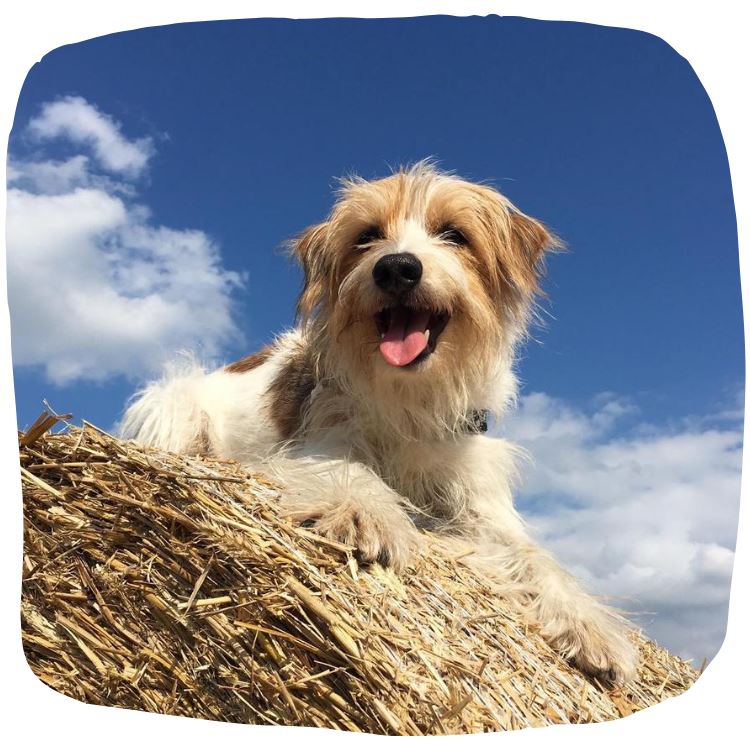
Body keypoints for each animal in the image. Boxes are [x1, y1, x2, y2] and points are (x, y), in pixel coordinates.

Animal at [123, 164, 640, 688]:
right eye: (367, 236)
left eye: (455, 234)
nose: (396, 268)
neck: (411, 398)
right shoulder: (314, 448)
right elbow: (349, 471)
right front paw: (363, 515)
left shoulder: (481, 504)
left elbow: (535, 557)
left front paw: (588, 626)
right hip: (174, 403)